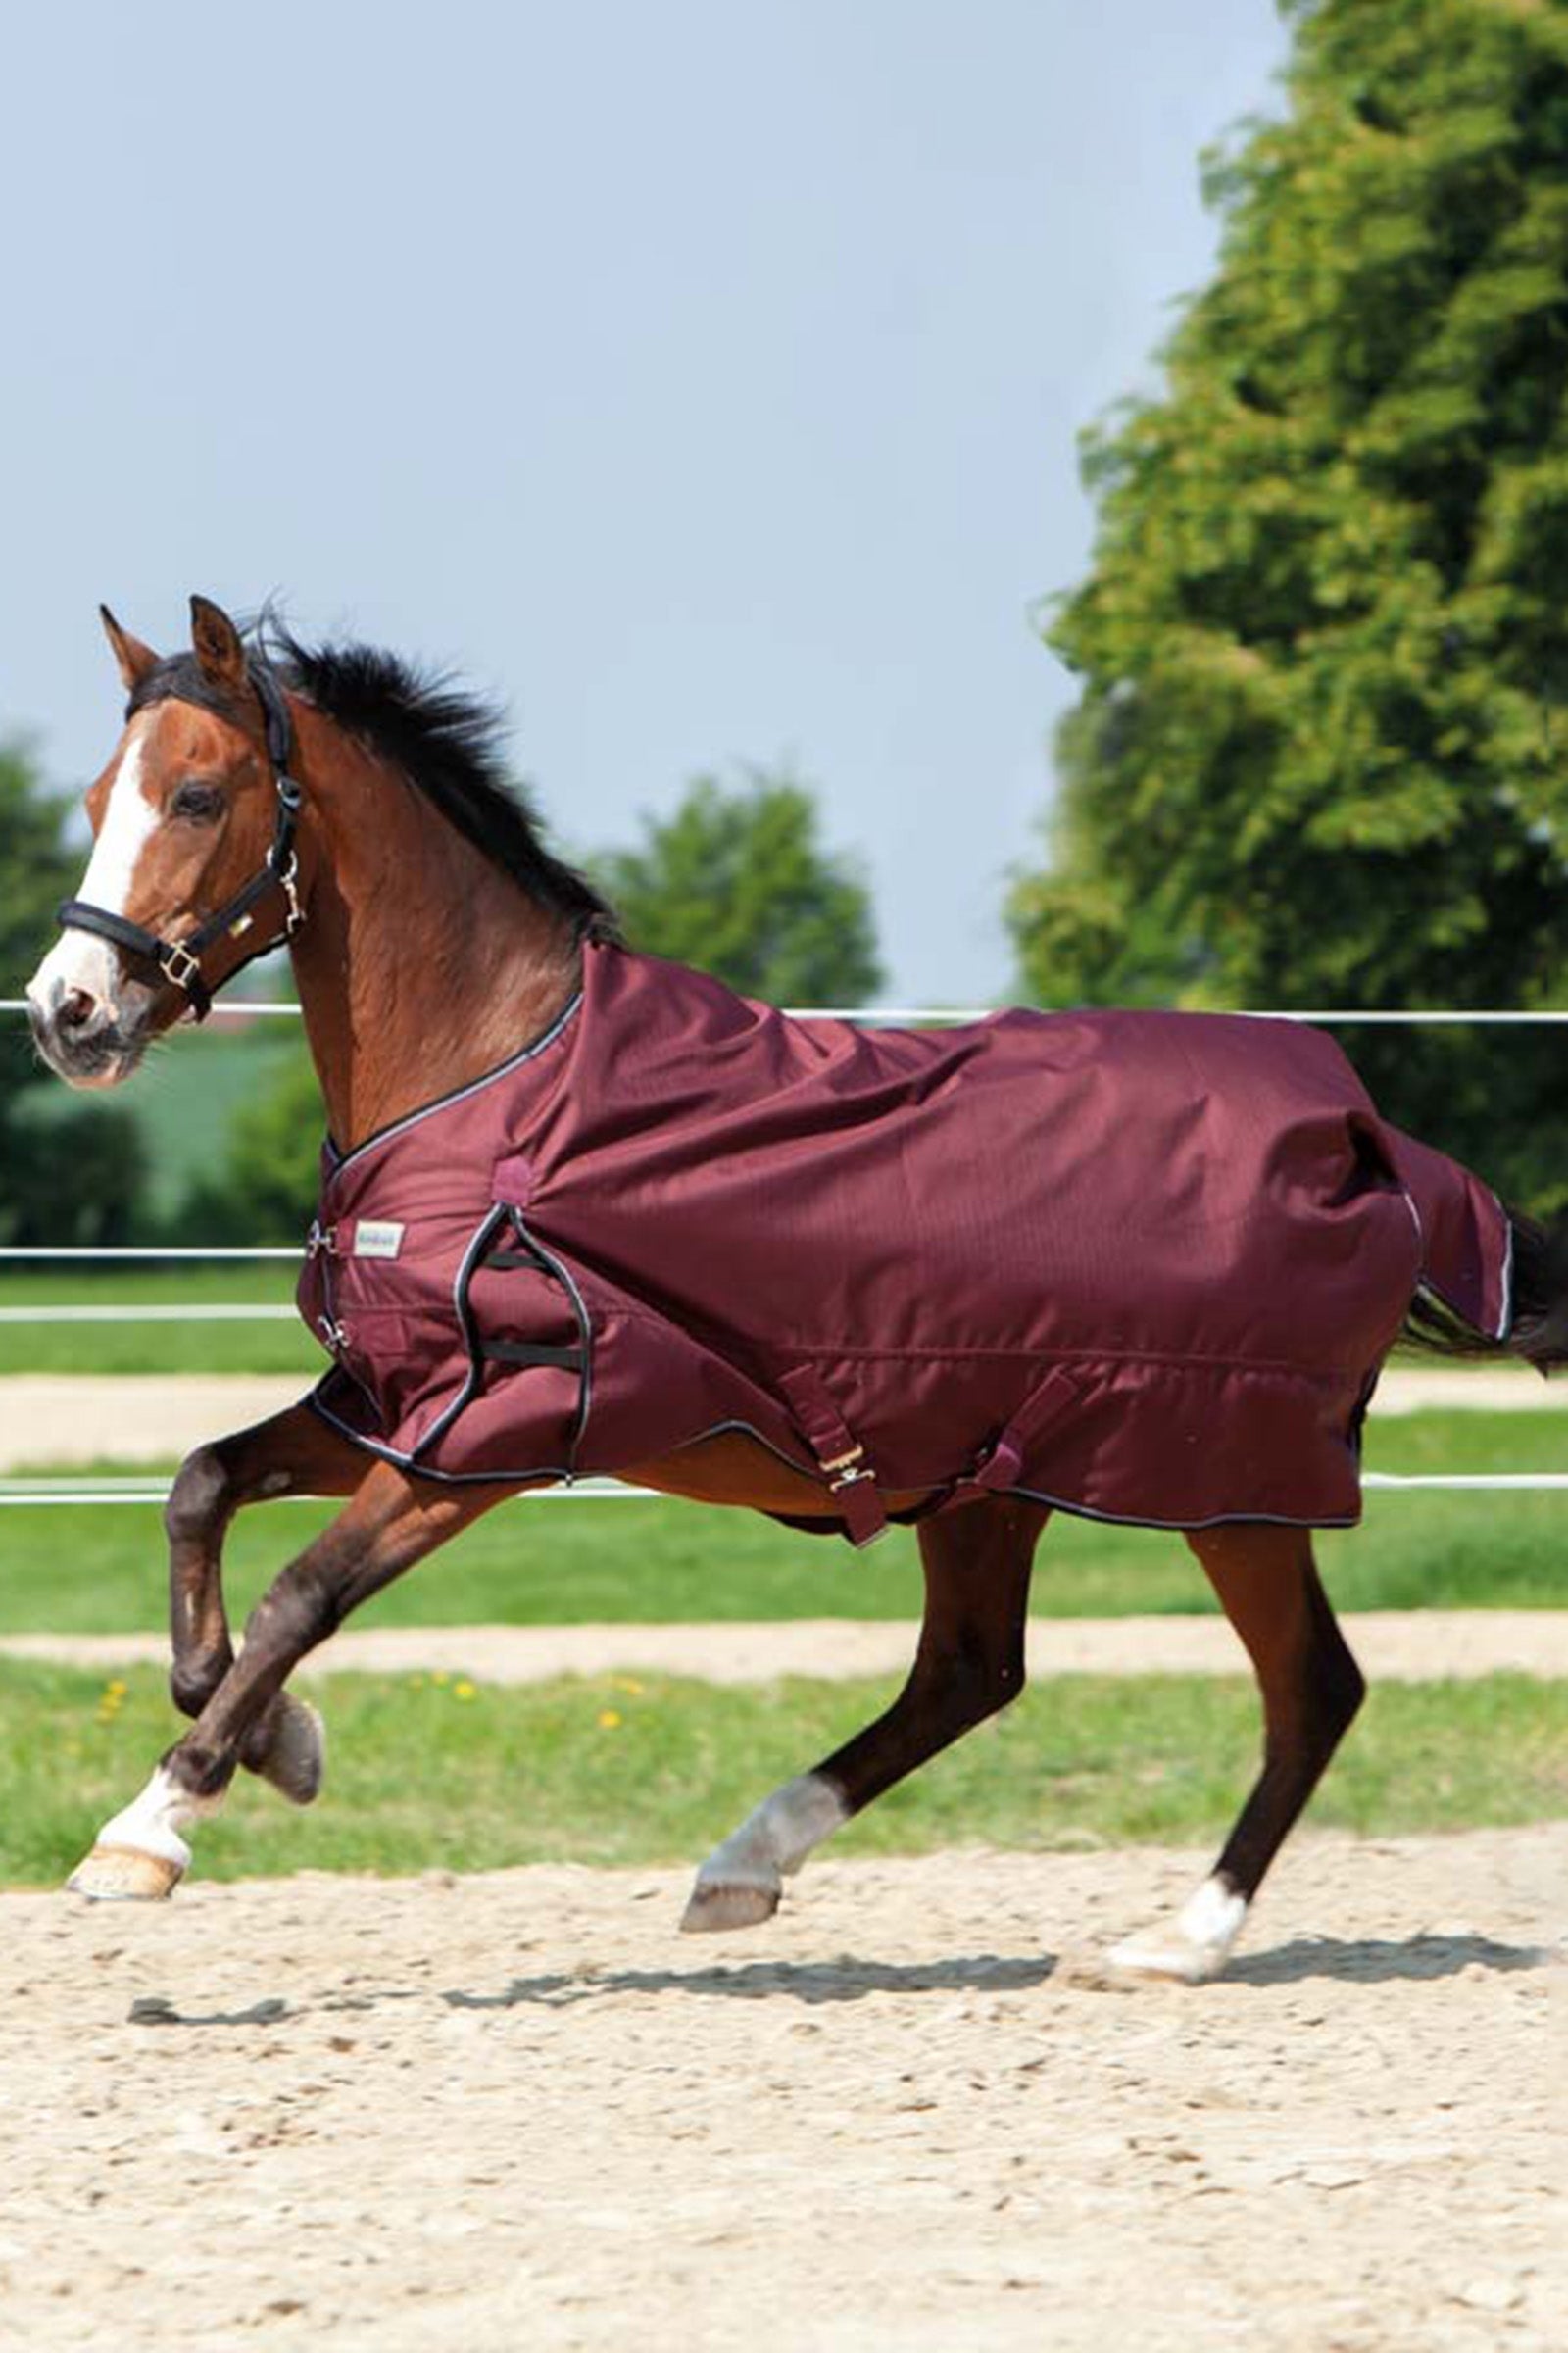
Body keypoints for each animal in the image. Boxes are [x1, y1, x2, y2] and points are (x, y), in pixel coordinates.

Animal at [24, 594, 1565, 1983]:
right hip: (993, 1476)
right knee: (972, 1672)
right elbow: (201, 1485)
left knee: (1308, 1688)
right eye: (100, 794)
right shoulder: (392, 1399)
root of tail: (1365, 1137)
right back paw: (744, 1865)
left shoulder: (496, 1430)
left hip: (1221, 1480)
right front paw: (273, 1739)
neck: (497, 1077)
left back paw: (1176, 1941)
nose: (66, 1013)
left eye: (198, 793)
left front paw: (151, 1825)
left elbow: (300, 1592)